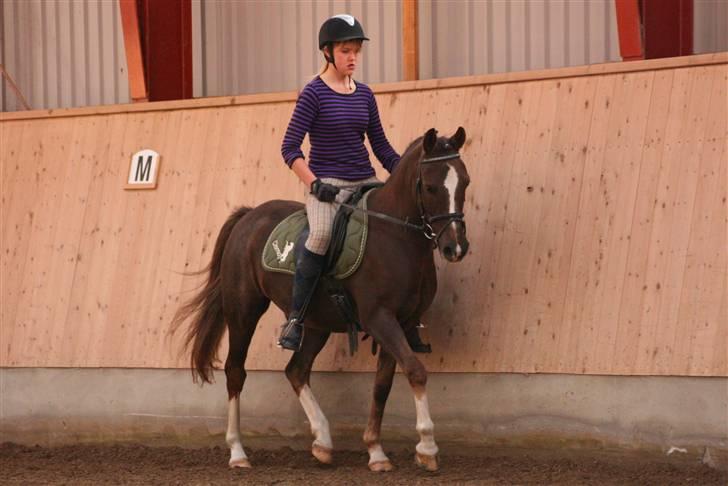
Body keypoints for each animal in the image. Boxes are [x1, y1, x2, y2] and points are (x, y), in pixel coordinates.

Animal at [173, 125, 470, 470]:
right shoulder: (380, 318)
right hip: (243, 311)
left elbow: (383, 386)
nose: (455, 248)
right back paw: (238, 452)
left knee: (296, 370)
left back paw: (323, 442)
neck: (397, 238)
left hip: (316, 321)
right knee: (236, 371)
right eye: (431, 187)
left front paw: (376, 452)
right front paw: (427, 447)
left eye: (465, 182)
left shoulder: (401, 321)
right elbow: (416, 371)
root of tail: (250, 216)